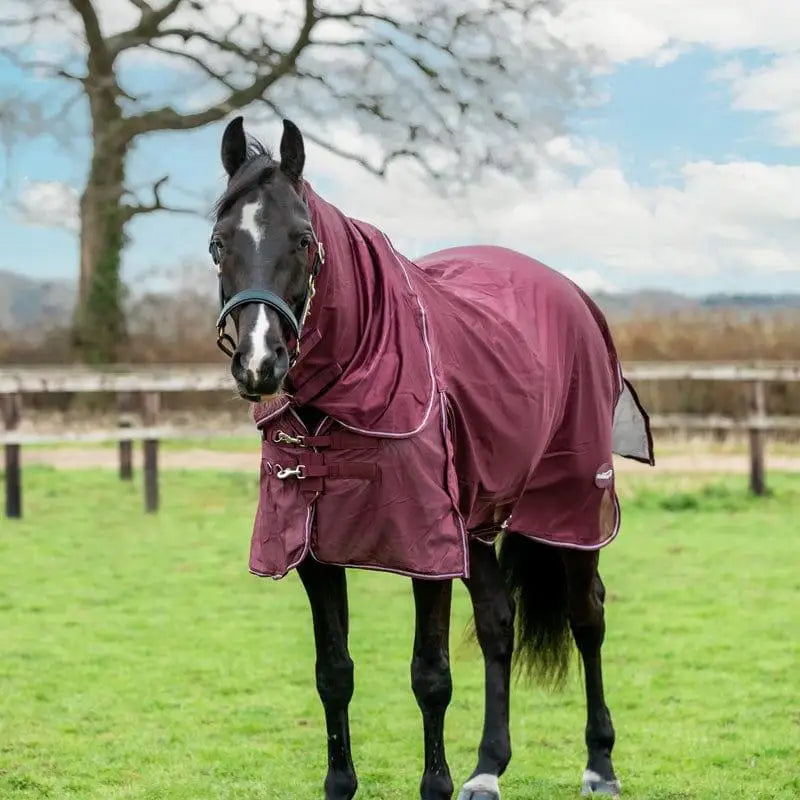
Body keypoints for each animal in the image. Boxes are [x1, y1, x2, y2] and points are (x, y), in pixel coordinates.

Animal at [207, 116, 654, 800]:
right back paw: (488, 769)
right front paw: (341, 784)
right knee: (499, 622)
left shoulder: (425, 548)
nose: (260, 364)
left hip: (573, 507)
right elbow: (333, 672)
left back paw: (599, 765)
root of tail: (571, 293)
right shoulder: (312, 548)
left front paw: (436, 785)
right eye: (219, 243)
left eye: (303, 239)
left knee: (588, 617)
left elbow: (431, 677)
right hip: (474, 523)